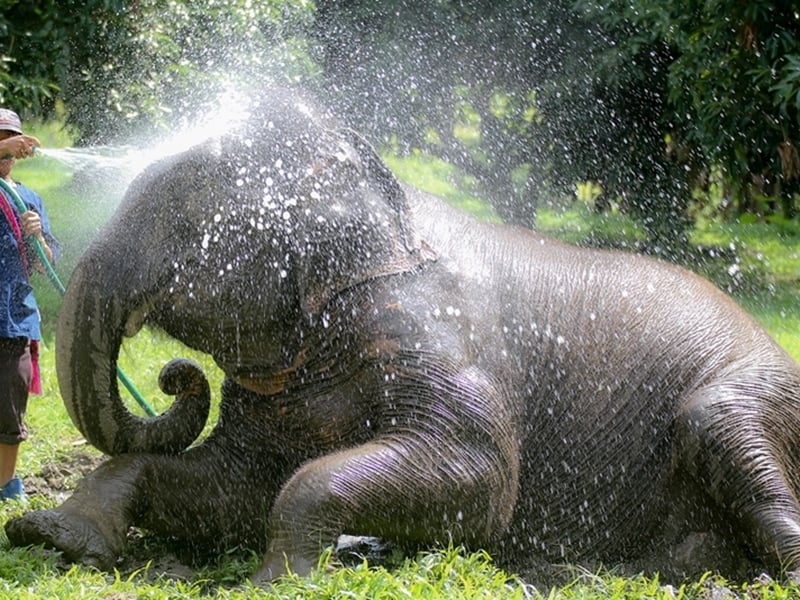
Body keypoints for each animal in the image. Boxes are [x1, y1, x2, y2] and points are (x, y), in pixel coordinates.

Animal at [6, 89, 800, 584]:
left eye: (183, 219)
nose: (175, 376)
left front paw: (278, 581)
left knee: (721, 430)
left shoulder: (436, 335)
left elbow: (481, 480)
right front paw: (52, 538)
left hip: (750, 394)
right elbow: (237, 484)